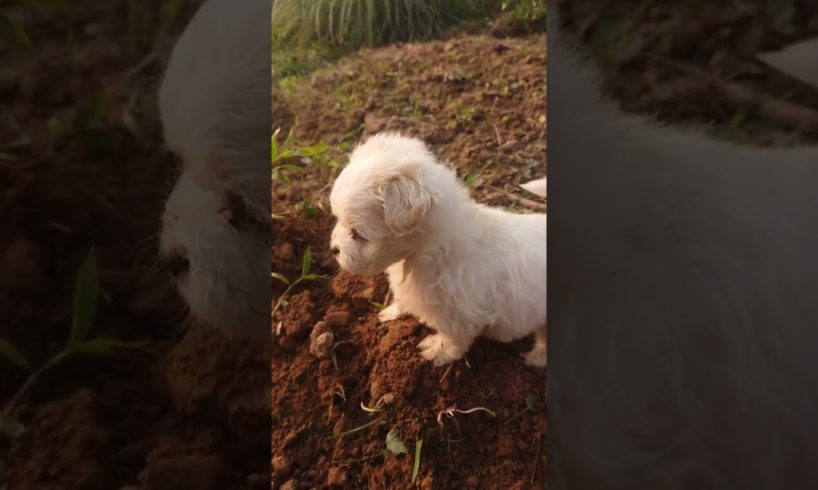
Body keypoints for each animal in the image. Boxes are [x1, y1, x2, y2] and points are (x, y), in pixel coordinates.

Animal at [328, 132, 544, 366]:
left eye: (359, 235)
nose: (334, 249)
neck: (429, 249)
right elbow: (401, 299)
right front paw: (390, 312)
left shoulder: (459, 315)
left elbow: (454, 339)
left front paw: (436, 351)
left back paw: (536, 358)